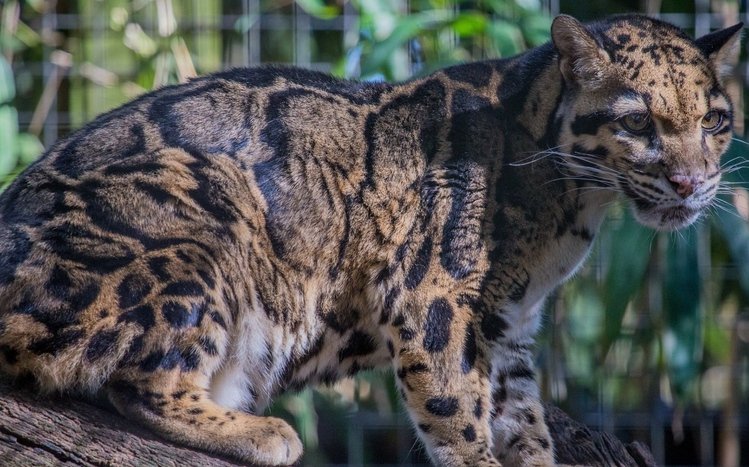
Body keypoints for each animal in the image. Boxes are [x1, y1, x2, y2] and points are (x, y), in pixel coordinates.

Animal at [0, 13, 741, 466]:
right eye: (638, 122)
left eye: (715, 121)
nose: (692, 183)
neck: (574, 199)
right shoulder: (433, 294)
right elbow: (456, 406)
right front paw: (475, 452)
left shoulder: (508, 322)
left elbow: (523, 417)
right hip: (207, 222)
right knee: (138, 381)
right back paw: (262, 430)